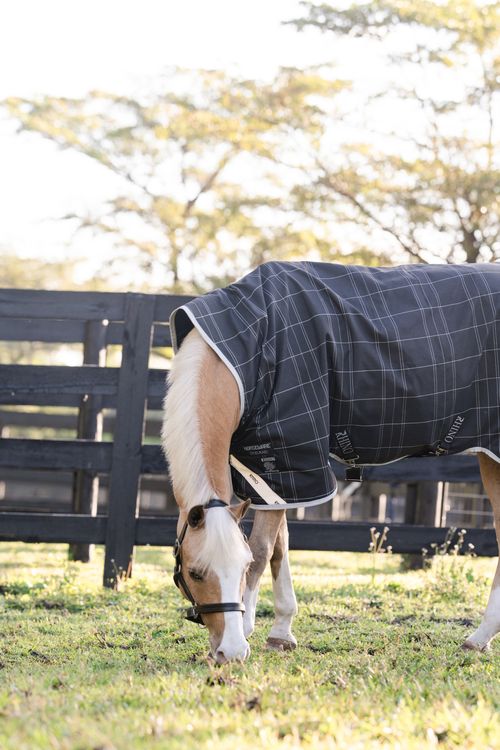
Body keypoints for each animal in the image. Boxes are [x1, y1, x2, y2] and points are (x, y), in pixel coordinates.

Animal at [162, 261, 500, 664]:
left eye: (240, 569)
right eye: (195, 573)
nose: (230, 652)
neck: (246, 350)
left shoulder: (291, 457)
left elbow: (263, 550)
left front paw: (248, 628)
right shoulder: (272, 475)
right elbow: (280, 548)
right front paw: (281, 632)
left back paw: (479, 637)